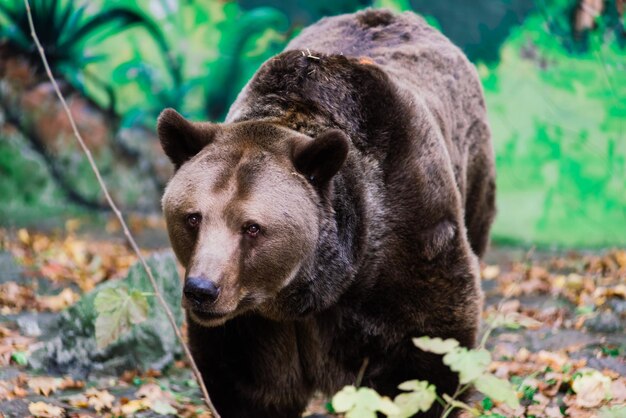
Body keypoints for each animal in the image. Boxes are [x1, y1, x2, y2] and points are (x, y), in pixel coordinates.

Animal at [158, 9, 494, 418]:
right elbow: (246, 385)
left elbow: (425, 355)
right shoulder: (252, 325)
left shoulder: (404, 234)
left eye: (252, 227)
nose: (202, 290)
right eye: (193, 217)